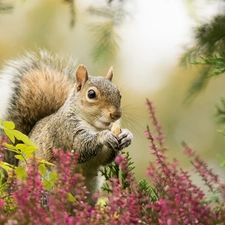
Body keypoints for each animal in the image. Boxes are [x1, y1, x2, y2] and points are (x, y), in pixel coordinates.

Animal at [0, 50, 134, 204]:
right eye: (91, 94)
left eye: (119, 94)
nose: (116, 114)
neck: (94, 126)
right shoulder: (64, 130)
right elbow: (79, 146)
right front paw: (104, 137)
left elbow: (105, 157)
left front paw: (127, 136)